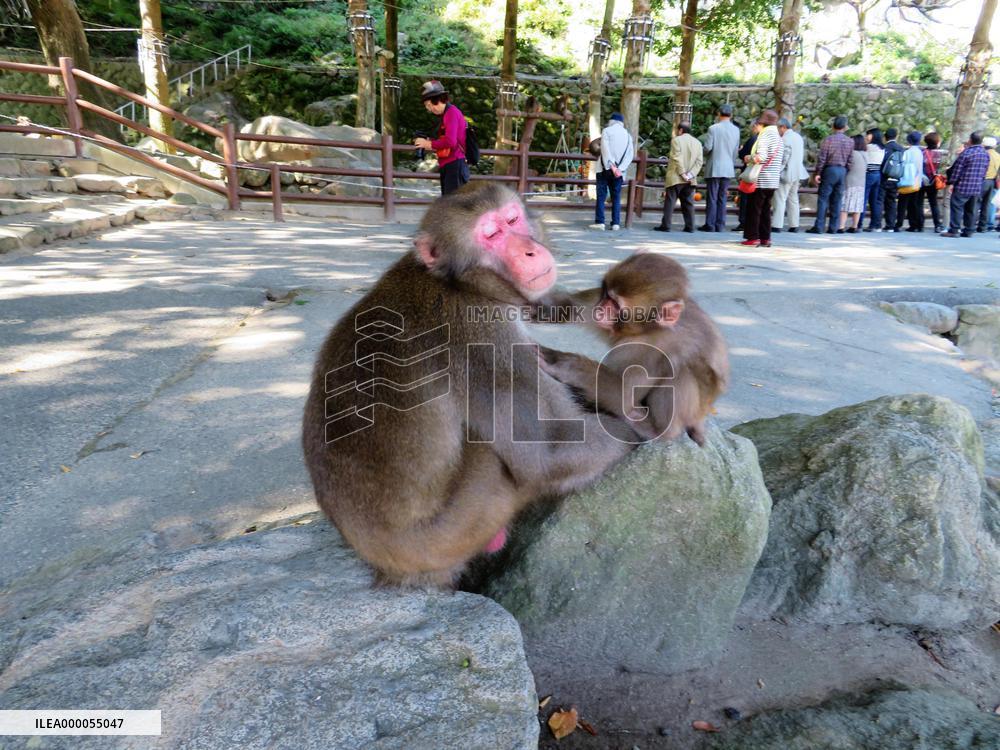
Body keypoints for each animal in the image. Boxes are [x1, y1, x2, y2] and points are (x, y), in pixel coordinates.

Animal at [302, 183, 639, 588]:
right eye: (491, 235)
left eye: (512, 219)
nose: (529, 250)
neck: (461, 282)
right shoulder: (480, 336)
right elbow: (550, 448)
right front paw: (646, 429)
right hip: (460, 524)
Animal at [535, 252, 729, 447]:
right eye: (606, 294)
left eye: (616, 305)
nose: (600, 309)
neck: (649, 329)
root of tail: (700, 417)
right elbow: (569, 306)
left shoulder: (649, 348)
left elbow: (624, 394)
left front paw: (563, 364)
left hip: (691, 413)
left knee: (680, 371)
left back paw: (659, 431)